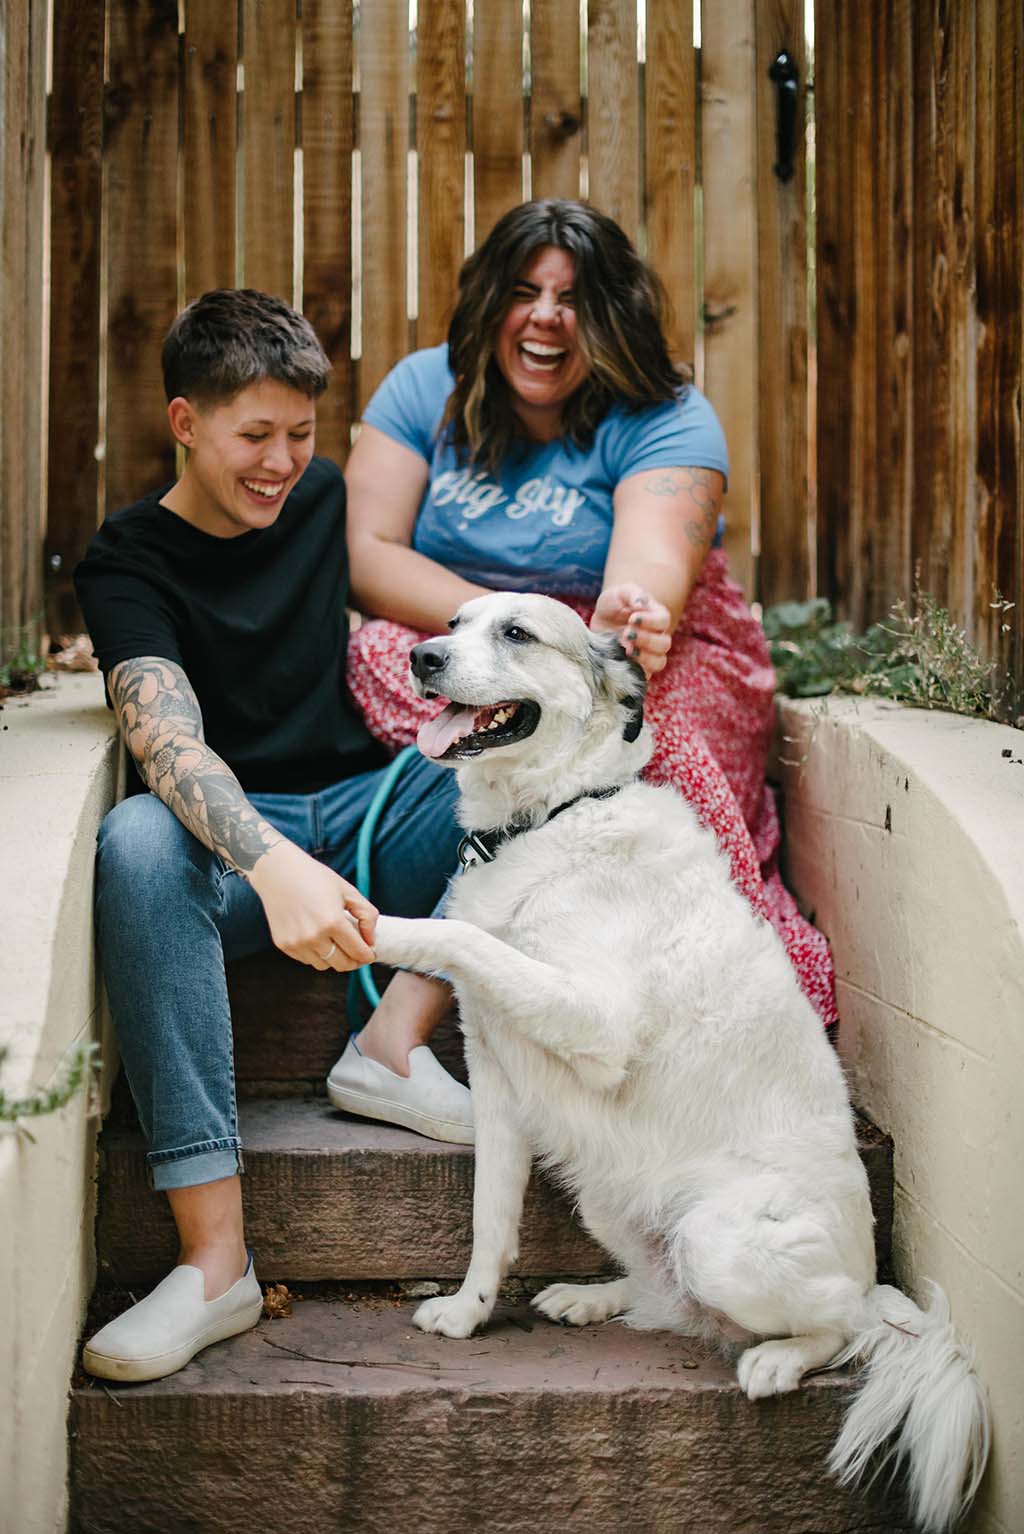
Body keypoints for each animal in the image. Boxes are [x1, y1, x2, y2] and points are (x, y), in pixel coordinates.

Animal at [372, 592, 987, 1527]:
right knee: (671, 1299)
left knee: (837, 1324)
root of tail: (872, 1278)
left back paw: (778, 1358)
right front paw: (471, 1313)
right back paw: (595, 1297)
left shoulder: (593, 1019)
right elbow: (489, 1225)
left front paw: (372, 926)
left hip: (718, 1238)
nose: (422, 659)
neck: (554, 813)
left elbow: (464, 935)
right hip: (613, 1198)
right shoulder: (499, 1084)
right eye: (453, 623)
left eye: (517, 633)